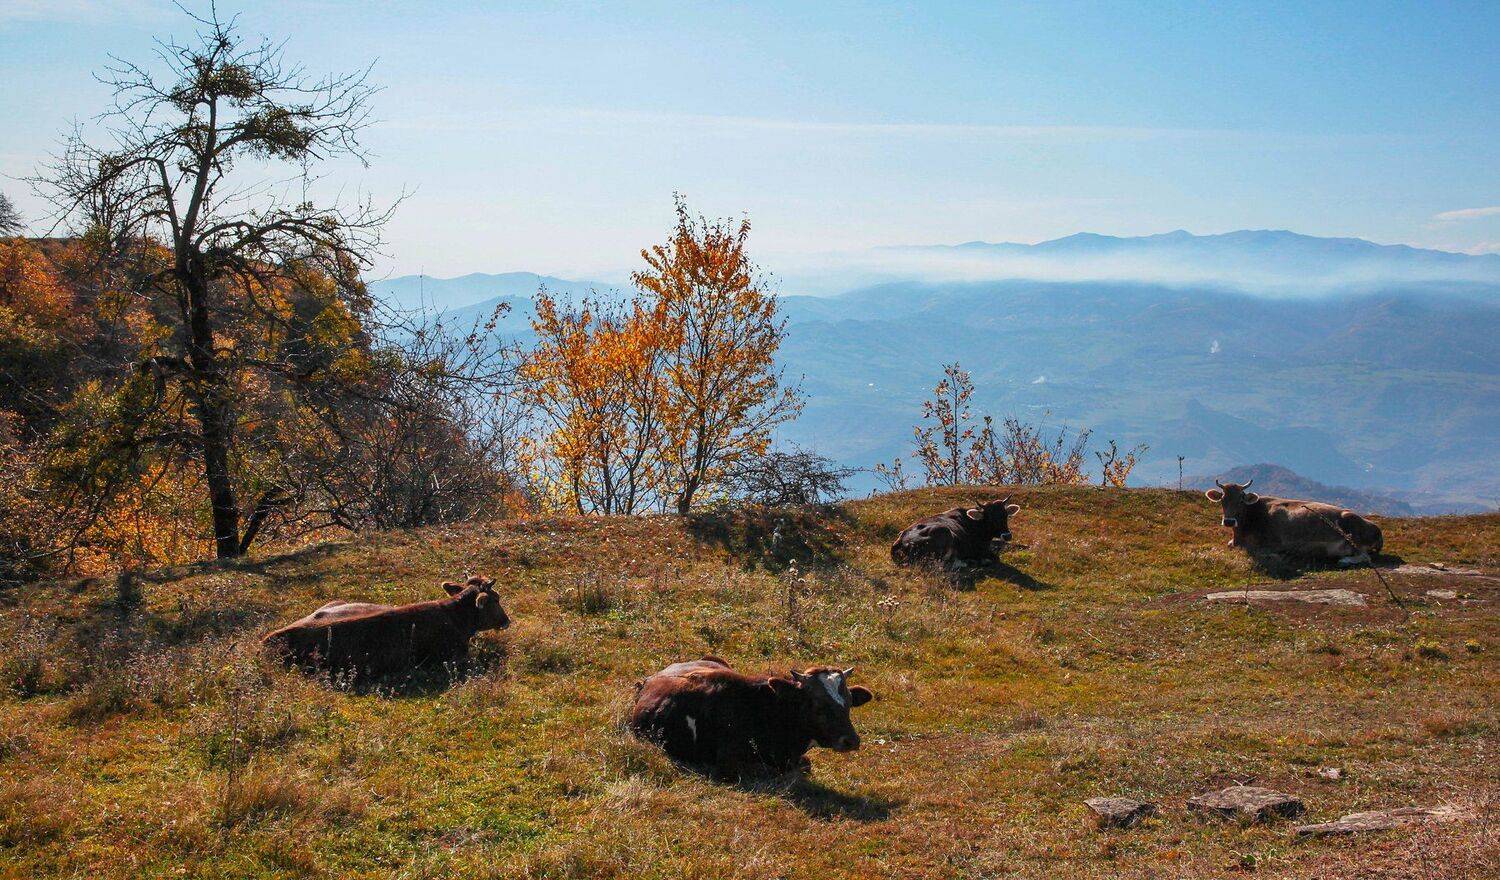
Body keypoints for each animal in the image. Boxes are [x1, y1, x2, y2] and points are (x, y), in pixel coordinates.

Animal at [891, 497, 1021, 568]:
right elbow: (995, 556)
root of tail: (902, 541)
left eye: (1005, 515)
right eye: (989, 518)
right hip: (943, 533)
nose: (1007, 535)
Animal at [1204, 479, 1383, 564]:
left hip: (1352, 529)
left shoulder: (1272, 544)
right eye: (1222, 499)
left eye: (1241, 500)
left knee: (1365, 557)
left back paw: (1344, 560)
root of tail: (1377, 529)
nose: (1229, 521)